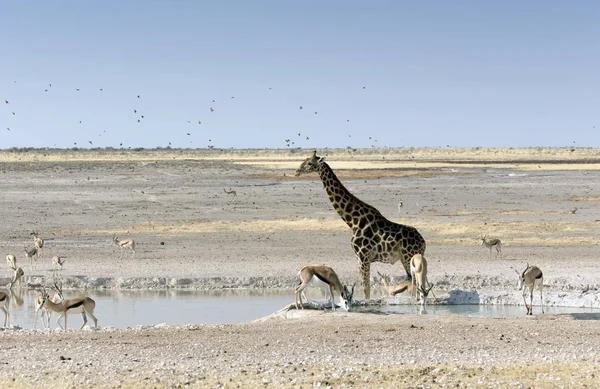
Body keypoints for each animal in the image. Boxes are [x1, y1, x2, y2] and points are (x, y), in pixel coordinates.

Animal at [296, 150, 426, 298]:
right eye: (304, 160)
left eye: (309, 163)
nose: (297, 171)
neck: (353, 221)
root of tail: (423, 242)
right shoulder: (361, 259)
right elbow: (366, 288)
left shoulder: (363, 257)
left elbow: (366, 289)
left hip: (408, 258)